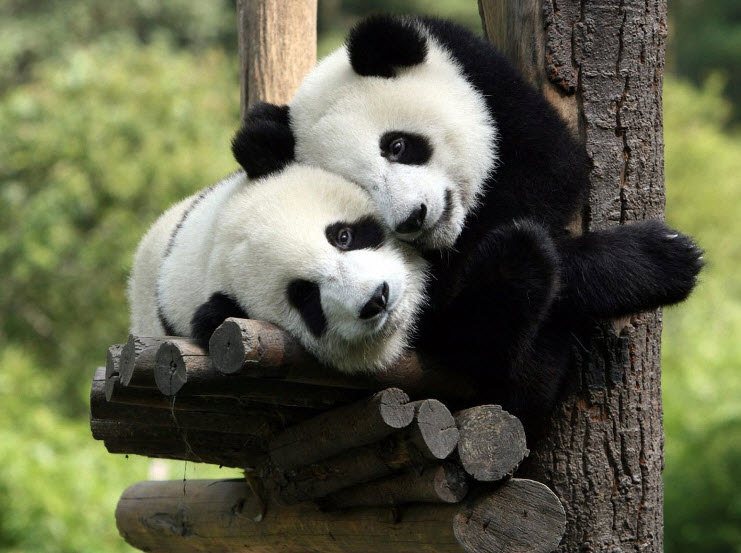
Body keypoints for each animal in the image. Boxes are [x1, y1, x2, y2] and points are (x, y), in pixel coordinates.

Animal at [231, 15, 704, 432]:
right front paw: (662, 258)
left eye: (397, 145)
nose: (413, 217)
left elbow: (552, 170)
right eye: (361, 188)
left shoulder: (490, 86)